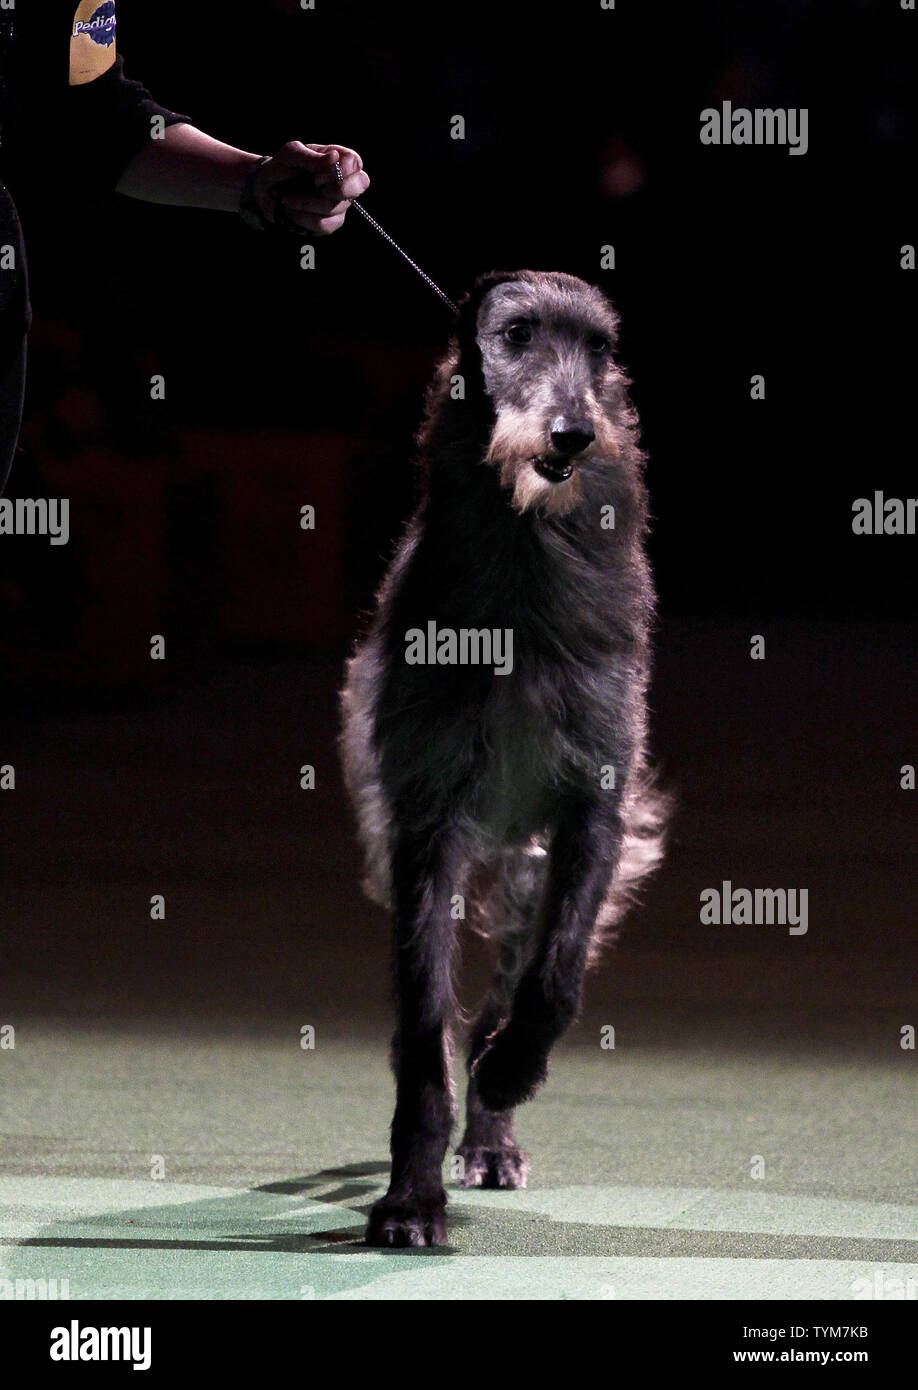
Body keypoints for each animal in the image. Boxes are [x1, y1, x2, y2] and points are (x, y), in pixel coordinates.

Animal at [336, 271, 667, 1251]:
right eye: (515, 334)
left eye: (602, 349)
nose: (574, 434)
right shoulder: (426, 823)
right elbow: (421, 1032)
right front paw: (410, 1200)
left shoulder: (594, 809)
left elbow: (556, 981)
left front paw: (510, 1073)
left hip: (528, 869)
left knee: (511, 983)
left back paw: (493, 1123)